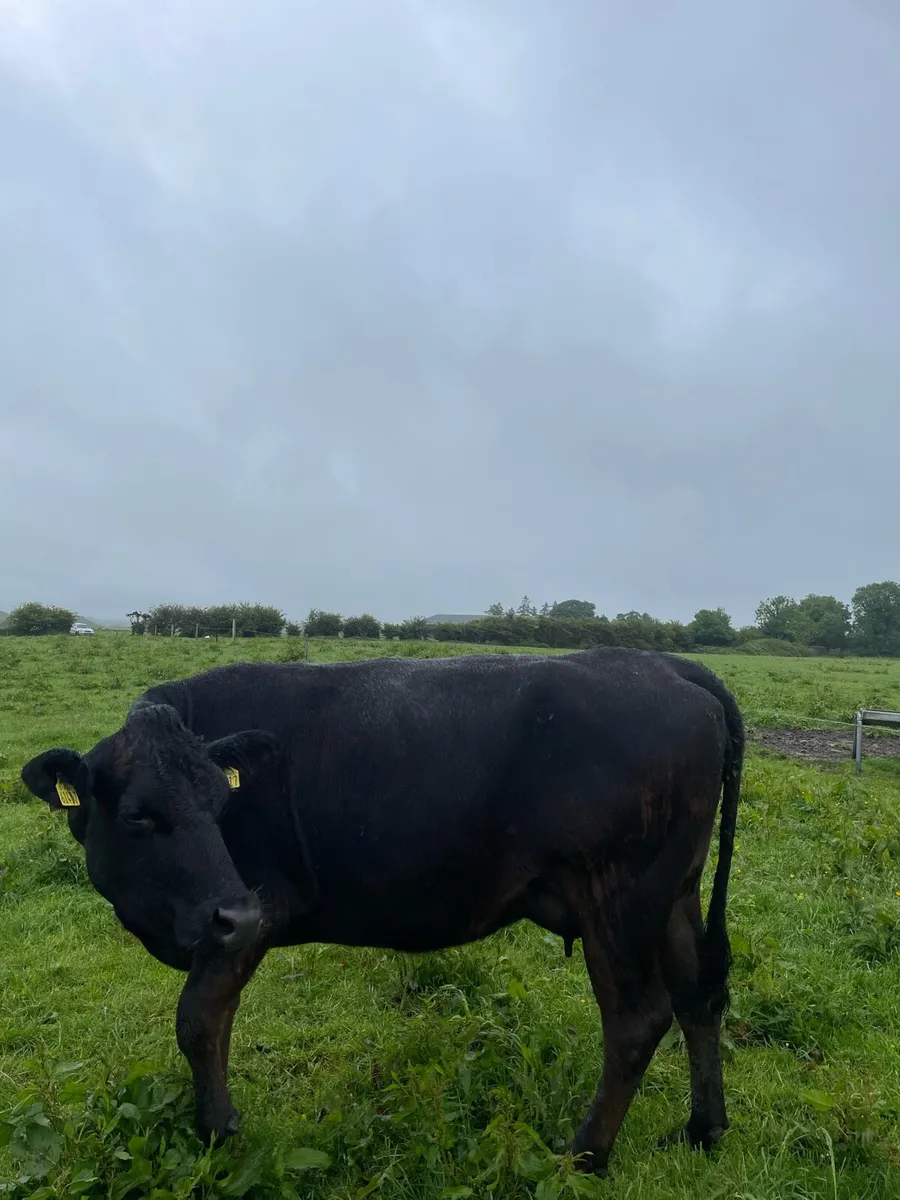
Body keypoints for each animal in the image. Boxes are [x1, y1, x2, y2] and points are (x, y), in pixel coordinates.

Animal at [20, 647, 743, 1176]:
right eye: (138, 815)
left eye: (219, 802)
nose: (235, 913)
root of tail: (659, 663)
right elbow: (215, 1024)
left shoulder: (256, 911)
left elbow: (198, 1021)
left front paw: (219, 1134)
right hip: (674, 894)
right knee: (698, 997)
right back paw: (702, 1129)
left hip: (619, 899)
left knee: (637, 1021)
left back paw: (583, 1155)